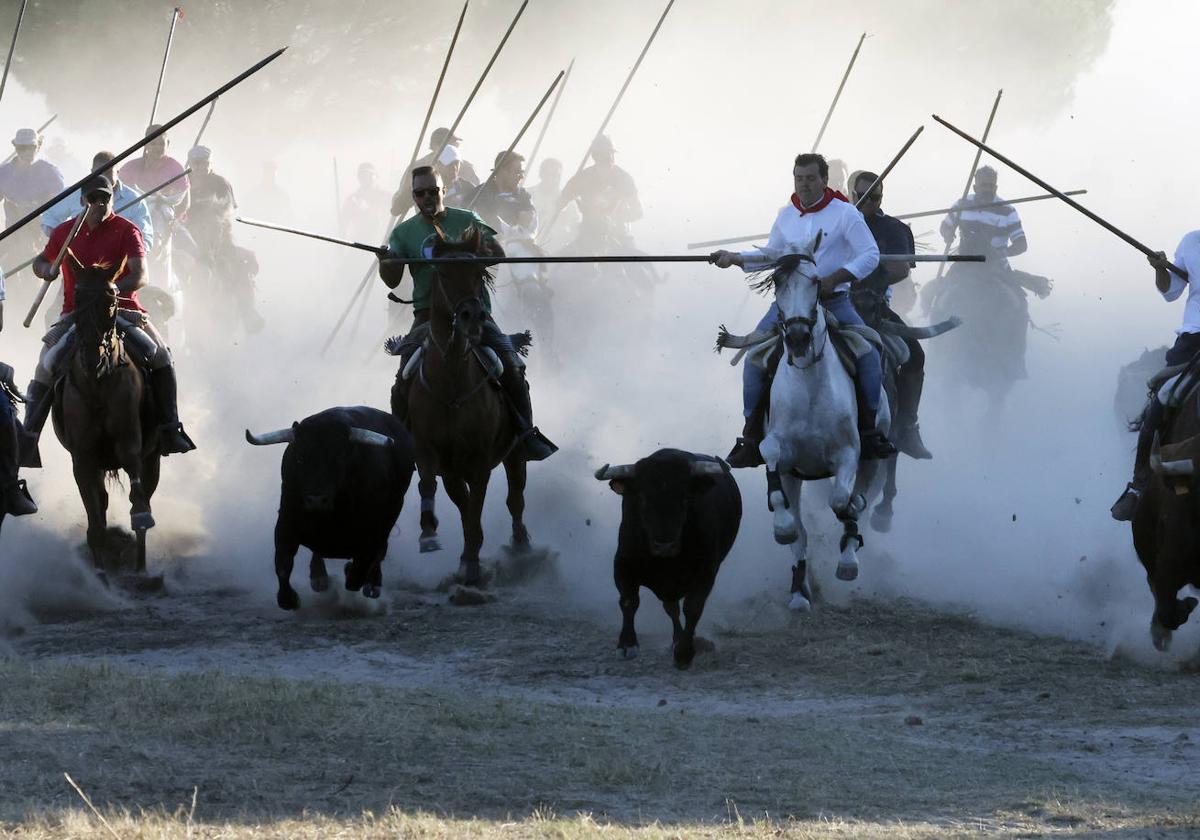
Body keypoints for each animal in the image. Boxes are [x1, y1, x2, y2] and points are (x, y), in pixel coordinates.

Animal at [54, 254, 163, 571]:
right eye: (78, 298)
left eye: (112, 301)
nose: (93, 358)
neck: (98, 384)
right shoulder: (83, 458)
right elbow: (95, 522)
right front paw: (100, 570)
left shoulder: (130, 446)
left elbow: (138, 503)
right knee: (102, 502)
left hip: (152, 457)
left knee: (145, 495)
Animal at [405, 226, 532, 588]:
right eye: (444, 273)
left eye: (478, 272)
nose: (472, 316)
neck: (452, 387)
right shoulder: (431, 453)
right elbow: (436, 489)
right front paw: (430, 535)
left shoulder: (479, 461)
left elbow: (476, 507)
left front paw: (472, 564)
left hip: (516, 453)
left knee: (515, 498)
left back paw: (522, 547)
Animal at [597, 448, 739, 672]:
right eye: (642, 498)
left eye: (685, 498)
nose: (664, 545)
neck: (666, 562)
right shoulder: (622, 564)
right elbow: (629, 601)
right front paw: (627, 645)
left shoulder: (707, 571)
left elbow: (693, 608)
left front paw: (683, 654)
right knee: (670, 609)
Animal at [758, 240, 892, 607]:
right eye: (777, 282)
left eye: (817, 282)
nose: (798, 337)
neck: (809, 386)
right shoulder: (783, 459)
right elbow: (773, 472)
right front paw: (782, 529)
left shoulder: (848, 454)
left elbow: (841, 502)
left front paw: (849, 543)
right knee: (802, 532)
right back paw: (800, 590)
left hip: (874, 454)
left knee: (859, 498)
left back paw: (848, 558)